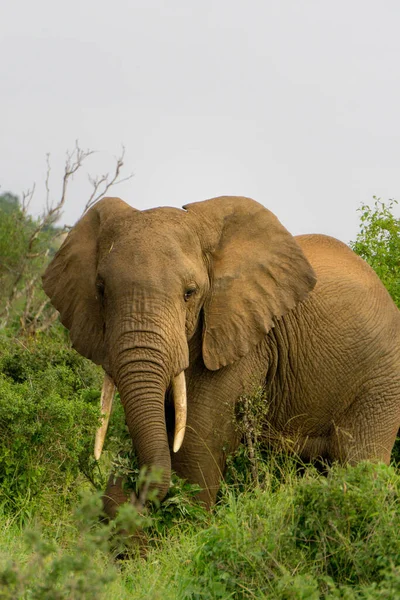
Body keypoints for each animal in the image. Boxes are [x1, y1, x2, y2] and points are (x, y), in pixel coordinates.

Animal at [43, 196, 400, 516]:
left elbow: (195, 446)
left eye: (190, 293)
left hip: (381, 384)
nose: (144, 496)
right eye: (101, 290)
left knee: (360, 461)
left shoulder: (242, 341)